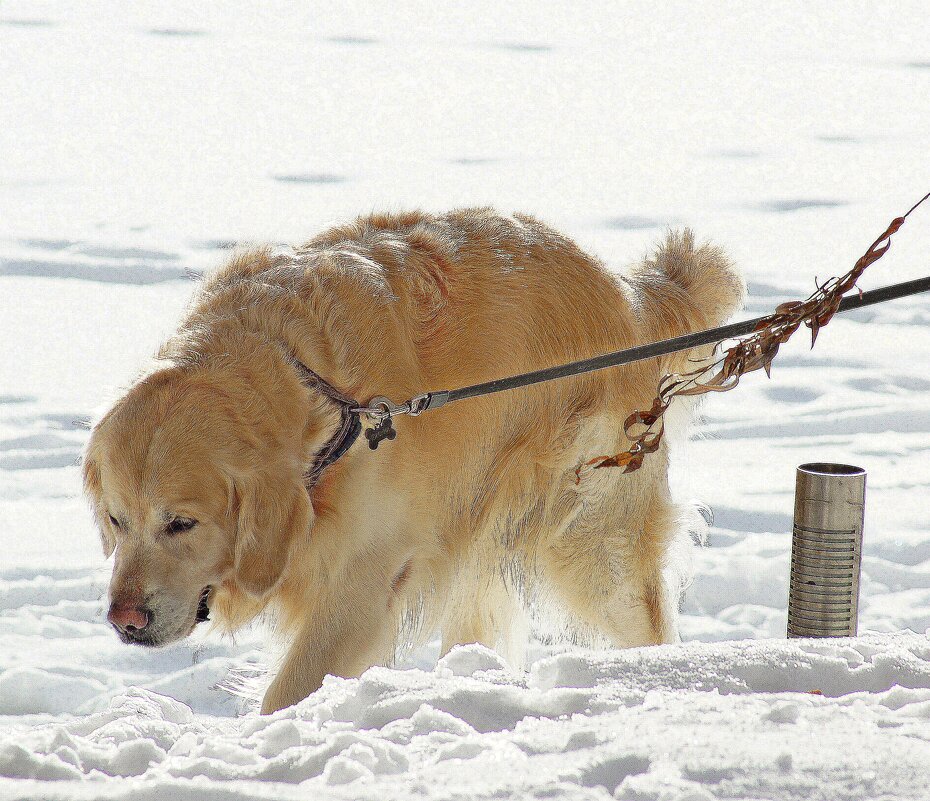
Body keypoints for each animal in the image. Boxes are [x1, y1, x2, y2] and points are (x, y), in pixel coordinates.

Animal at [83, 208, 744, 712]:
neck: (315, 390)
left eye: (181, 523)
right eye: (116, 521)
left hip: (591, 538)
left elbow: (294, 684)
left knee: (644, 621)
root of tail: (626, 294)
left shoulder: (371, 572)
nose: (124, 621)